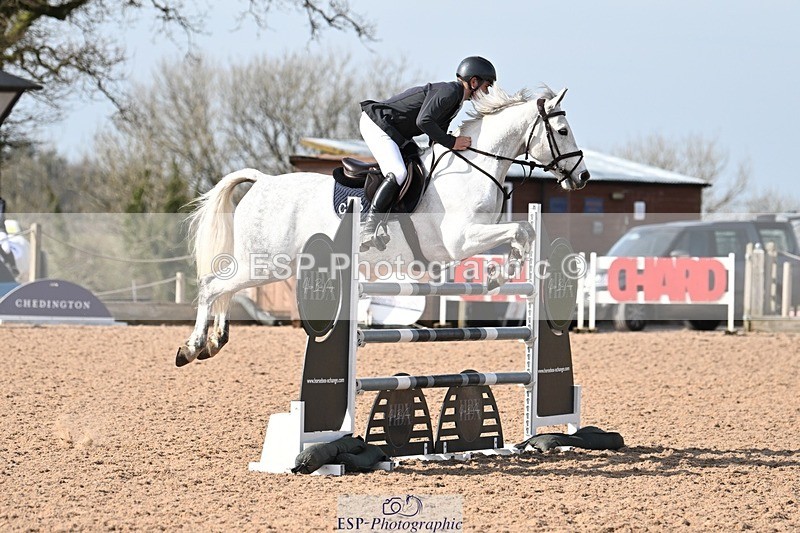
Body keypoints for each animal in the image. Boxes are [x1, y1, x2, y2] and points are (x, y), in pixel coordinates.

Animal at [176, 85, 590, 366]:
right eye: (563, 131)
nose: (583, 176)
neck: (475, 166)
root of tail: (262, 181)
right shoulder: (461, 240)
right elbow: (520, 231)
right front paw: (495, 275)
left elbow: (525, 233)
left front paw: (501, 273)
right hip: (265, 263)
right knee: (213, 286)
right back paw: (192, 347)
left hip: (265, 265)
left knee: (225, 288)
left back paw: (215, 341)